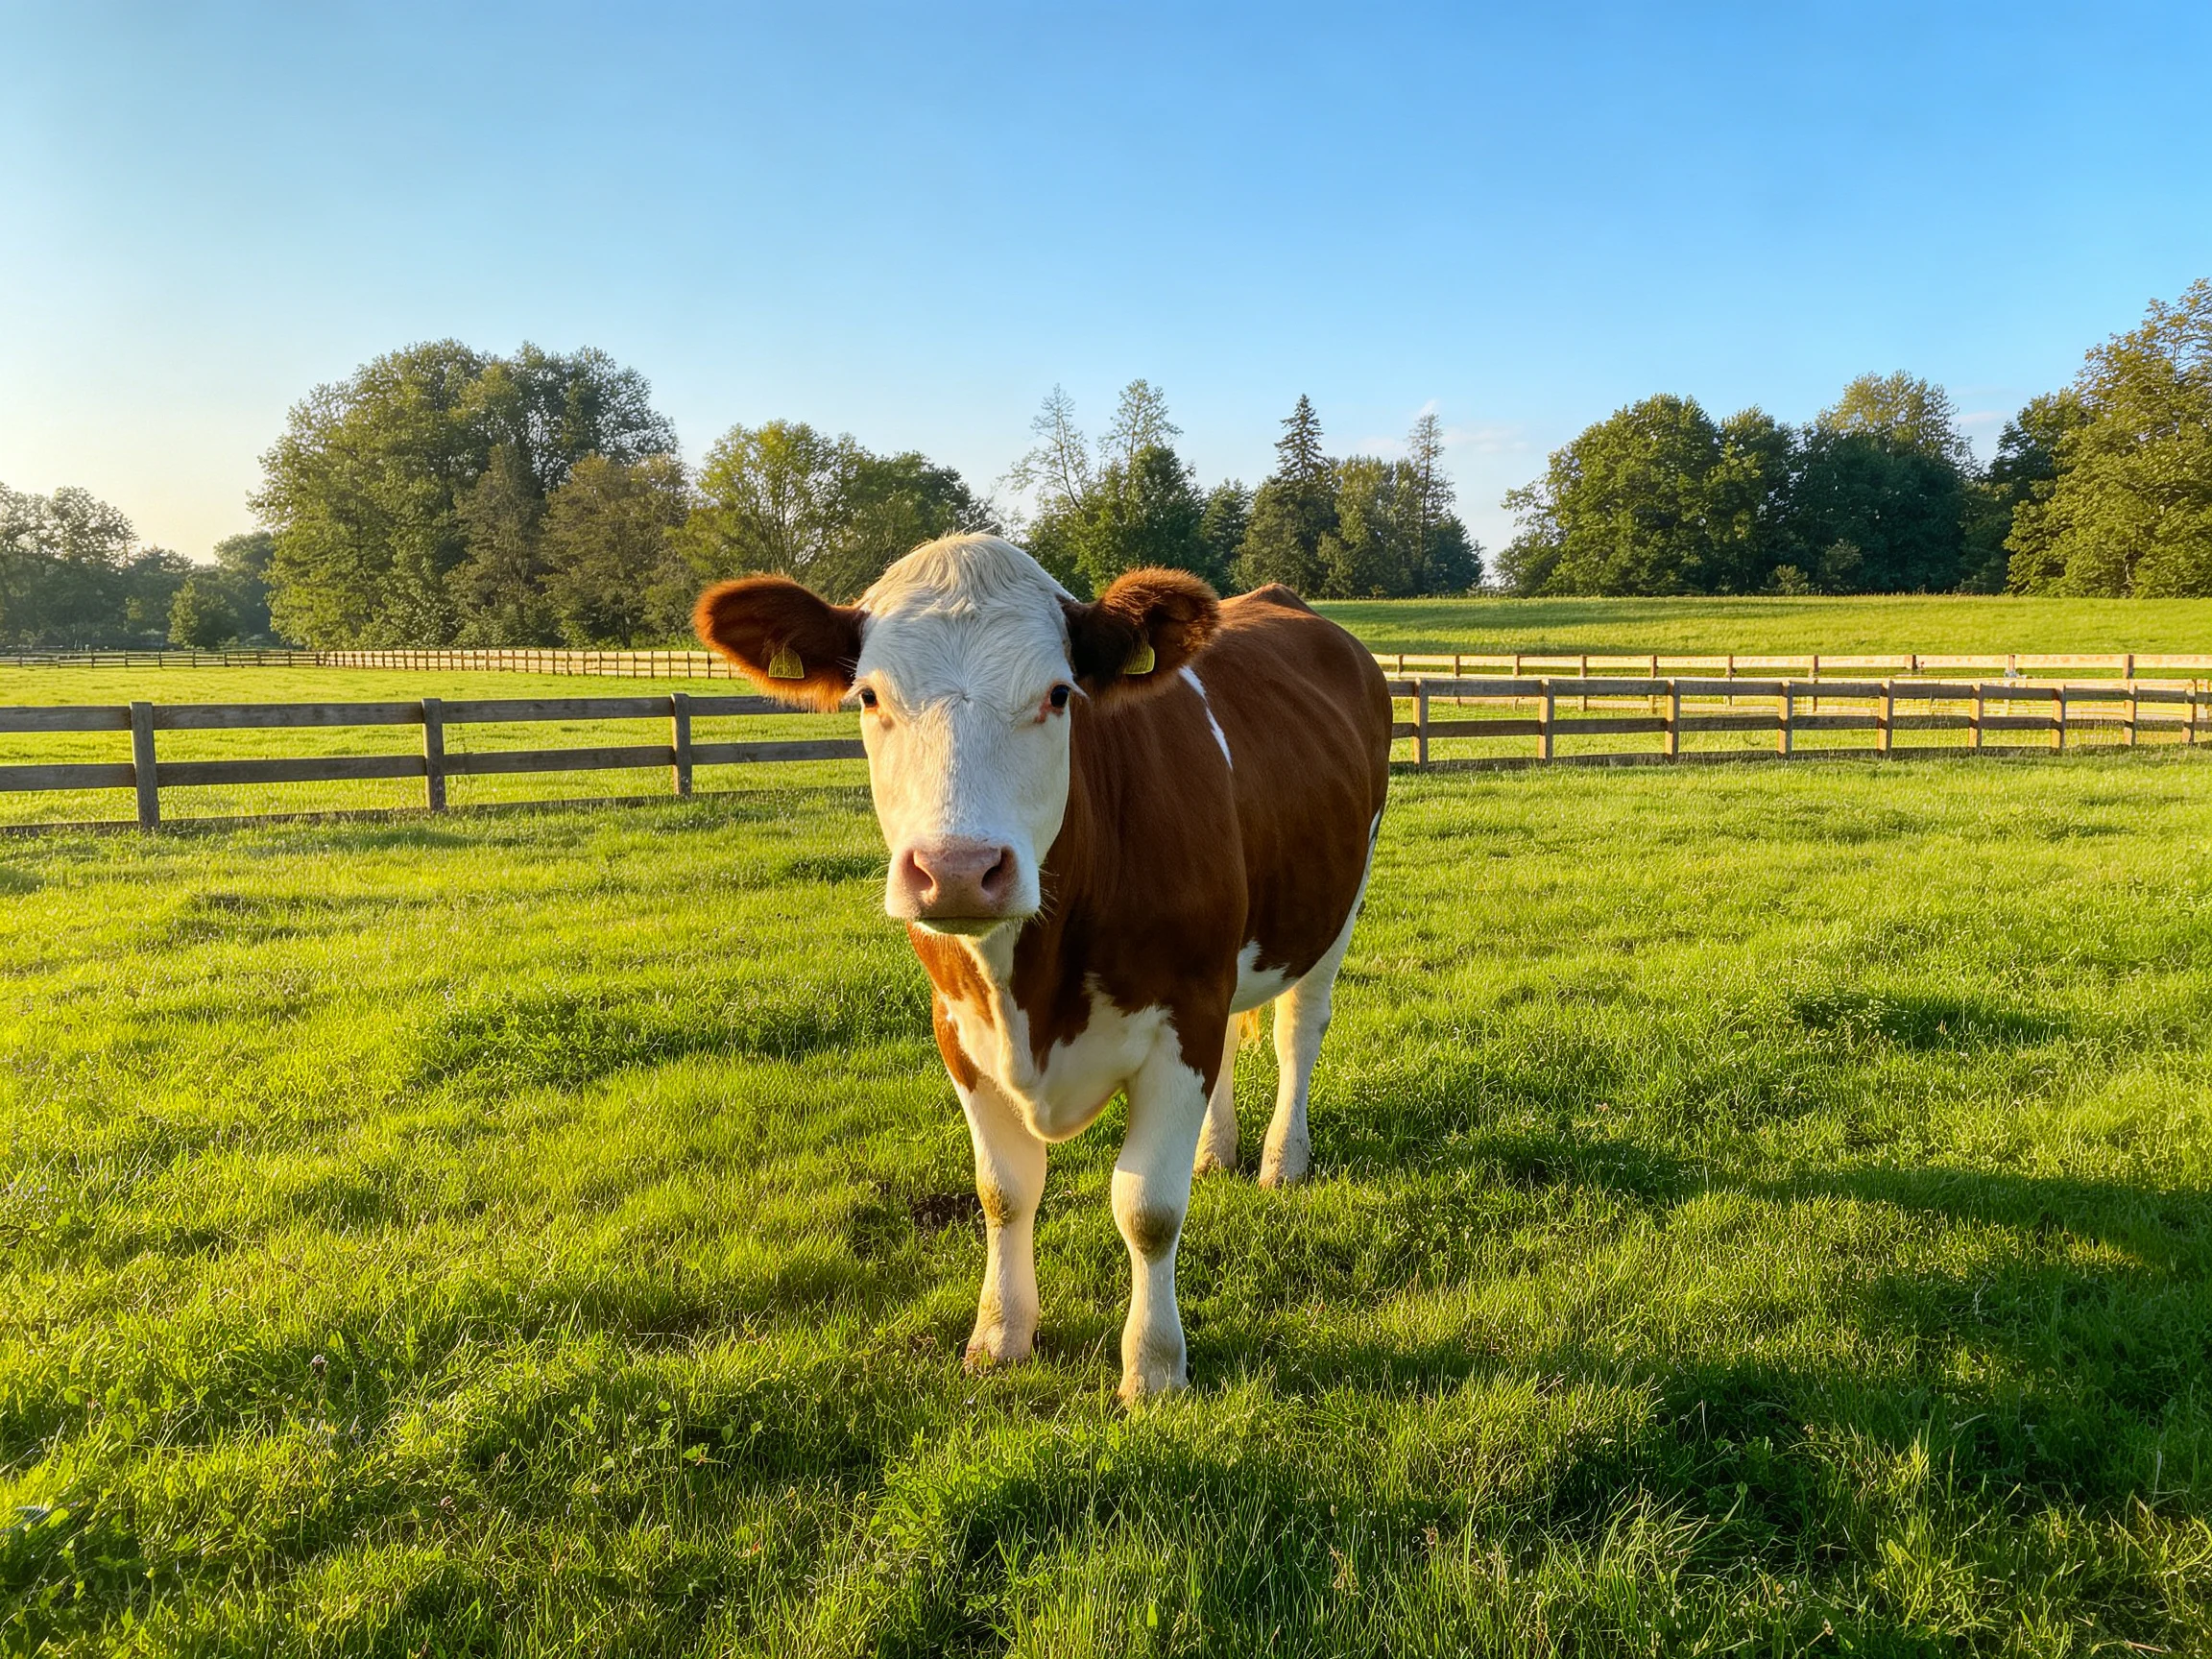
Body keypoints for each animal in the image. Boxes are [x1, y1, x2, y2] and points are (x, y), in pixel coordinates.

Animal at [695, 534, 1390, 1402]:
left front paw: (1153, 1368)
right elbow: (1004, 1191)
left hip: (1338, 904)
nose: (958, 869)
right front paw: (1000, 1334)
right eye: (869, 697)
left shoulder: (1182, 1012)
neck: (1029, 987)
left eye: (1060, 695)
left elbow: (1147, 1208)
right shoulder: (958, 1028)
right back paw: (1215, 1150)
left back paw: (1280, 1162)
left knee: (1299, 1031)